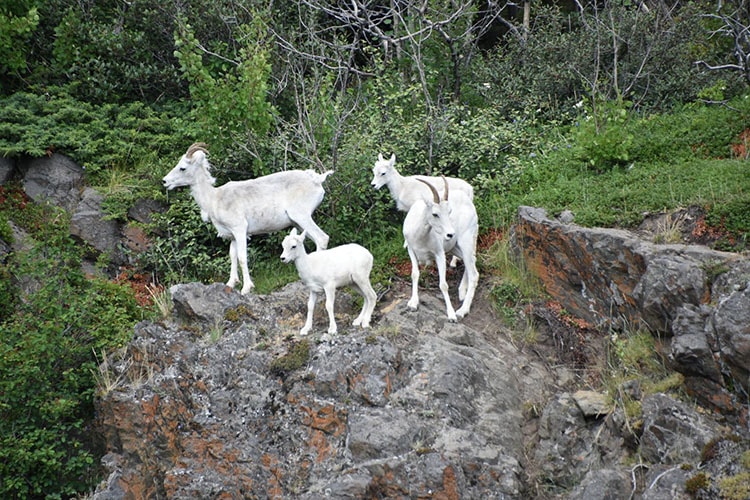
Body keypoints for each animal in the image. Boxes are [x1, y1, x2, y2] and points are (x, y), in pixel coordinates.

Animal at [164, 143, 332, 294]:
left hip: (302, 217)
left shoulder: (240, 230)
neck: (214, 199)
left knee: (321, 238)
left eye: (182, 168)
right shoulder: (232, 236)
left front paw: (246, 288)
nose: (164, 181)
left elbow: (242, 257)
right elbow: (232, 256)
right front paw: (231, 284)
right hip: (298, 223)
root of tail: (317, 180)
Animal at [406, 178, 482, 322]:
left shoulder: (439, 254)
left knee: (474, 273)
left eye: (449, 211)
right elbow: (415, 274)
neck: (420, 236)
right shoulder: (411, 250)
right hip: (455, 248)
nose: (450, 234)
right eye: (435, 214)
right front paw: (413, 304)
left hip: (466, 242)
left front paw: (451, 315)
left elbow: (443, 285)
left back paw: (462, 311)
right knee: (472, 261)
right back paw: (462, 292)